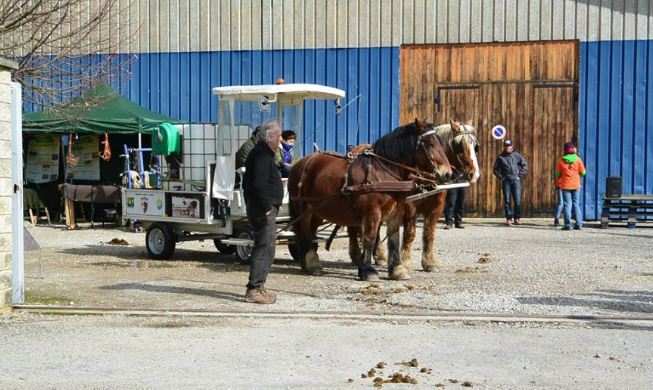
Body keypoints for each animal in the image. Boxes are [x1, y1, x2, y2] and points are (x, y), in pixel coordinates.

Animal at [288, 119, 450, 280]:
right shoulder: (373, 213)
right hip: (304, 210)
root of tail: (300, 163)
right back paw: (312, 264)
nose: (447, 173)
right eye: (430, 144)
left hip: (318, 210)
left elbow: (394, 239)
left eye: (441, 144)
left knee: (312, 233)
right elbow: (369, 239)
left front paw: (397, 269)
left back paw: (307, 262)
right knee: (306, 234)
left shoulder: (396, 212)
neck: (383, 172)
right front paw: (368, 270)